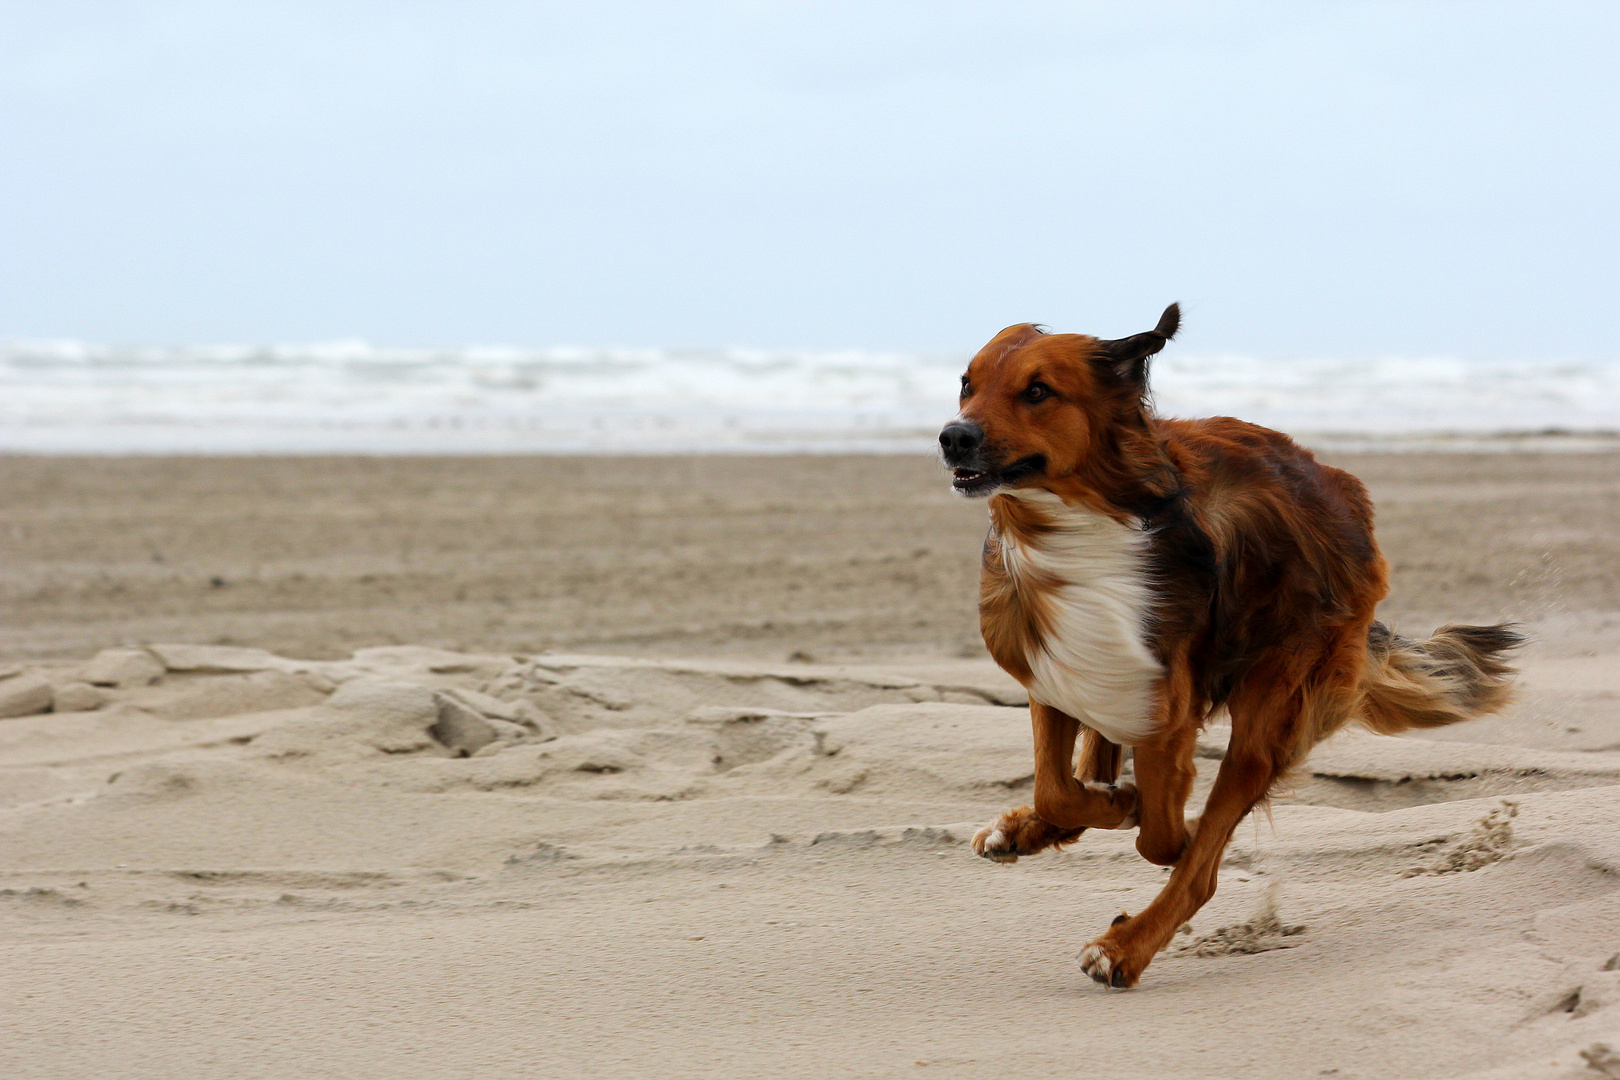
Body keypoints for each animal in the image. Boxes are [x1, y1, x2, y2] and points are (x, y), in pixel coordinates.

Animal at [939, 304, 1516, 990]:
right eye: (966, 384)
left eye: (1037, 391)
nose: (953, 437)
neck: (1075, 528)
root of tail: (1344, 489)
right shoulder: (1057, 671)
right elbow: (1059, 785)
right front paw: (1077, 810)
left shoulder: (1166, 715)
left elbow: (1162, 835)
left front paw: (1141, 816)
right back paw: (1040, 829)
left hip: (1272, 707)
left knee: (1203, 867)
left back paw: (1125, 946)